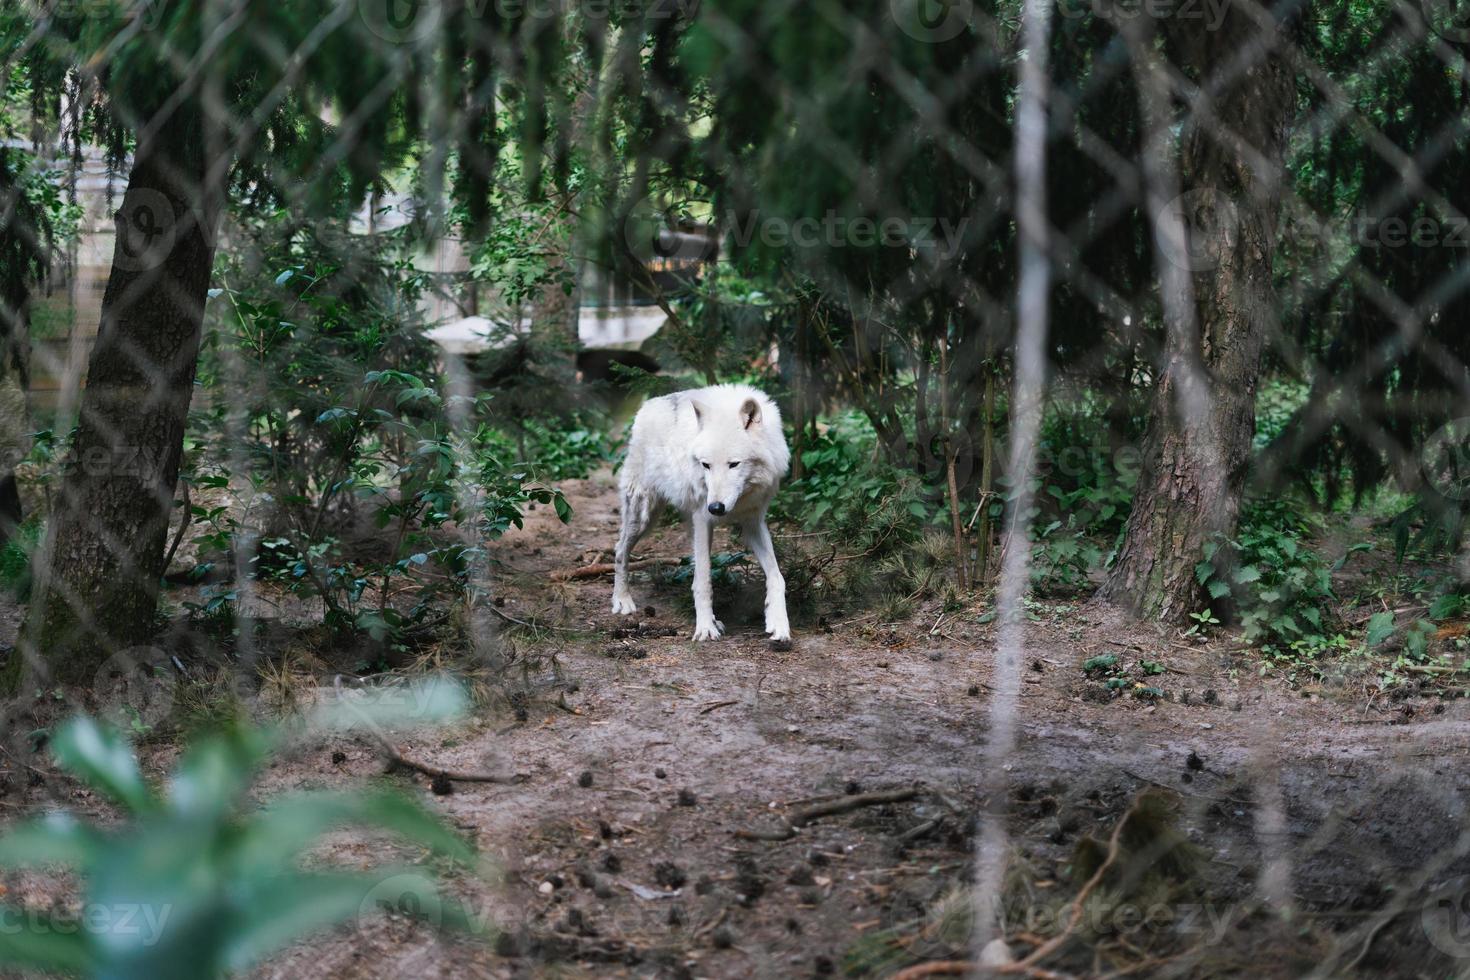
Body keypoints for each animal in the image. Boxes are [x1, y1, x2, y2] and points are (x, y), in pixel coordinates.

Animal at [608, 382, 793, 643]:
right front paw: (705, 628)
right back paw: (622, 600)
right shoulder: (703, 519)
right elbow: (704, 580)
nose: (715, 507)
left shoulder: (753, 523)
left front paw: (779, 625)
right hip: (644, 516)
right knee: (619, 550)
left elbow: (777, 577)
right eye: (706, 465)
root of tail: (646, 406)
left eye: (734, 464)